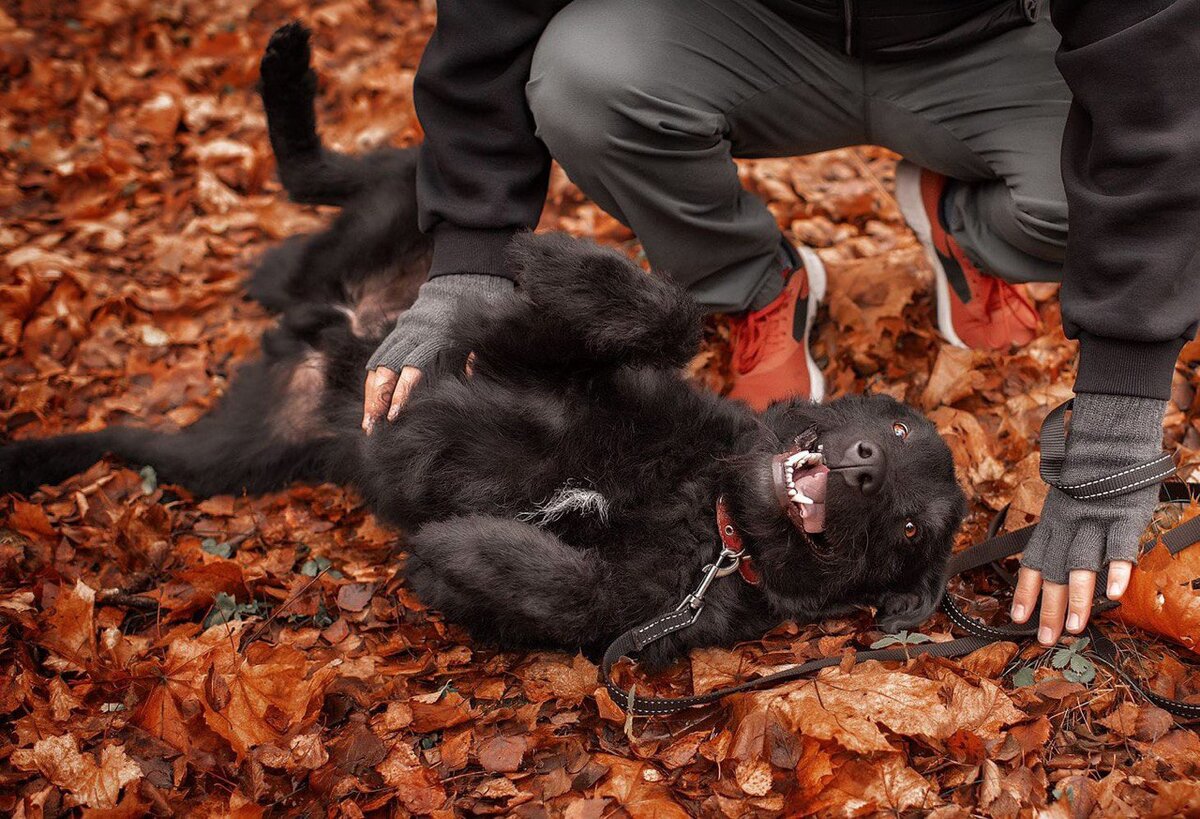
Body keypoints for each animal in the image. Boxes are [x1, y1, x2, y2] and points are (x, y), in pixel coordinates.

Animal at [0, 23, 964, 662]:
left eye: (909, 525)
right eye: (900, 425)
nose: (868, 464)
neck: (711, 502)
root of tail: (312, 320)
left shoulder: (633, 609)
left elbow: (554, 583)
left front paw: (459, 545)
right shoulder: (546, 364)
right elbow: (663, 311)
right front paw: (556, 263)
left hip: (226, 455)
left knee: (121, 439)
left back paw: (27, 453)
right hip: (403, 200)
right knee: (341, 176)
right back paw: (291, 71)